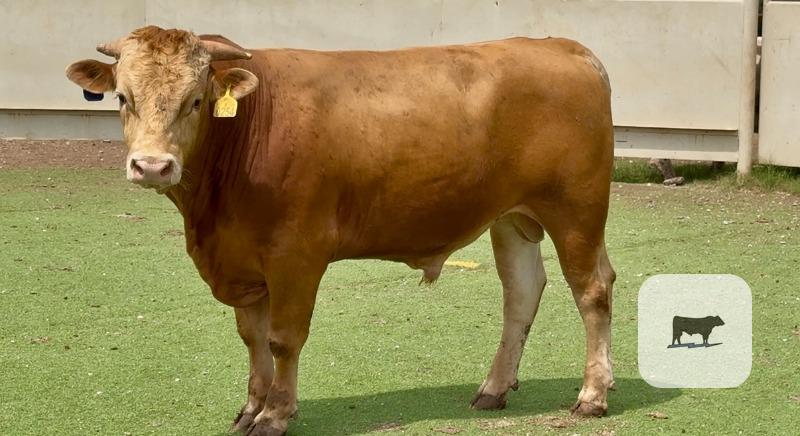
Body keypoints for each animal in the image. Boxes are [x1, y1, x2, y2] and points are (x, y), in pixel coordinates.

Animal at [66, 26, 616, 435]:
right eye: (123, 97)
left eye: (196, 100)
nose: (152, 166)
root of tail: (566, 48)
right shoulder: (243, 260)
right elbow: (252, 337)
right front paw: (251, 408)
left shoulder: (295, 255)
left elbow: (282, 339)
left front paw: (275, 414)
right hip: (511, 218)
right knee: (523, 292)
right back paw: (494, 389)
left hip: (576, 209)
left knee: (592, 289)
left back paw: (592, 395)